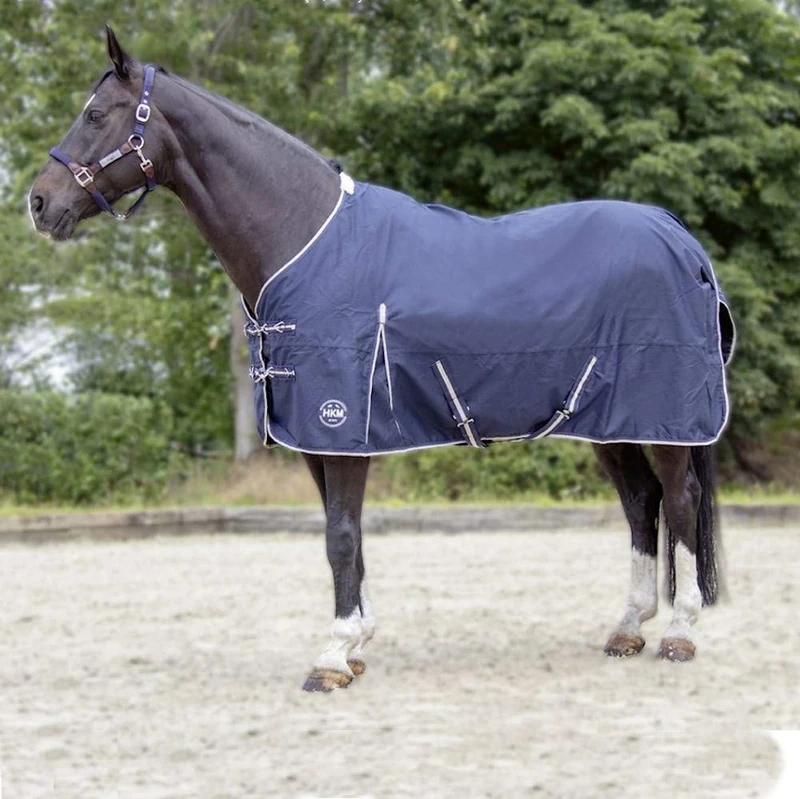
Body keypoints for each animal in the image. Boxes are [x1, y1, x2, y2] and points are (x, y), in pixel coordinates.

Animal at [29, 28, 734, 692]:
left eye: (96, 114)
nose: (39, 203)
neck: (305, 241)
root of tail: (679, 236)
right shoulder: (316, 437)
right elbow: (347, 534)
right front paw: (358, 644)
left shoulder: (340, 425)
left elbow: (341, 536)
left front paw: (332, 656)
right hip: (607, 420)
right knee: (640, 501)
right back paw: (628, 627)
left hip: (664, 420)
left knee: (678, 499)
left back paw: (678, 633)